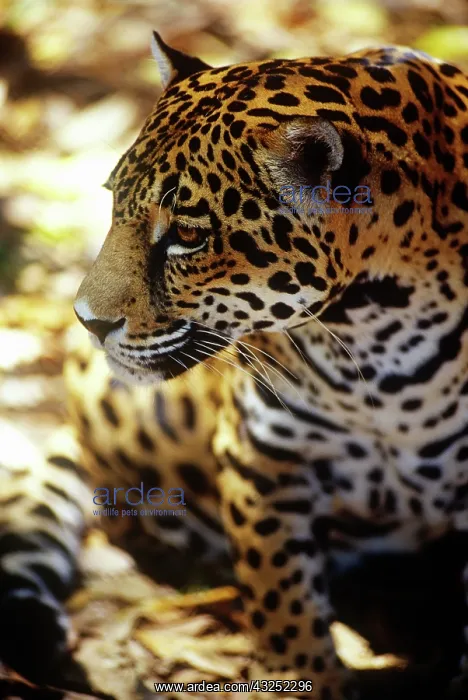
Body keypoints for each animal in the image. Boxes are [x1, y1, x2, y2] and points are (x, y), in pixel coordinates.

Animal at [1, 32, 468, 700]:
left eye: (187, 236)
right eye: (114, 203)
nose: (86, 321)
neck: (378, 340)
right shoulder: (262, 456)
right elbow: (282, 598)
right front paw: (302, 675)